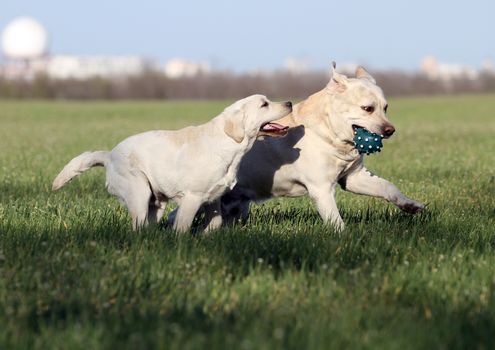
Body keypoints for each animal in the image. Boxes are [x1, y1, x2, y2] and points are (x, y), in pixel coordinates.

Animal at [52, 95, 292, 232]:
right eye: (264, 104)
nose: (289, 103)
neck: (229, 144)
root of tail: (109, 155)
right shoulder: (192, 198)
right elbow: (182, 227)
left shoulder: (213, 198)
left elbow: (215, 223)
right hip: (139, 193)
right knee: (136, 226)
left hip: (156, 203)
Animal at [222, 64, 426, 231]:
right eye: (367, 108)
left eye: (385, 108)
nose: (390, 130)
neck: (330, 133)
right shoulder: (321, 188)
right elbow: (335, 220)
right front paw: (346, 237)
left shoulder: (354, 177)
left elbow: (388, 186)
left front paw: (410, 205)